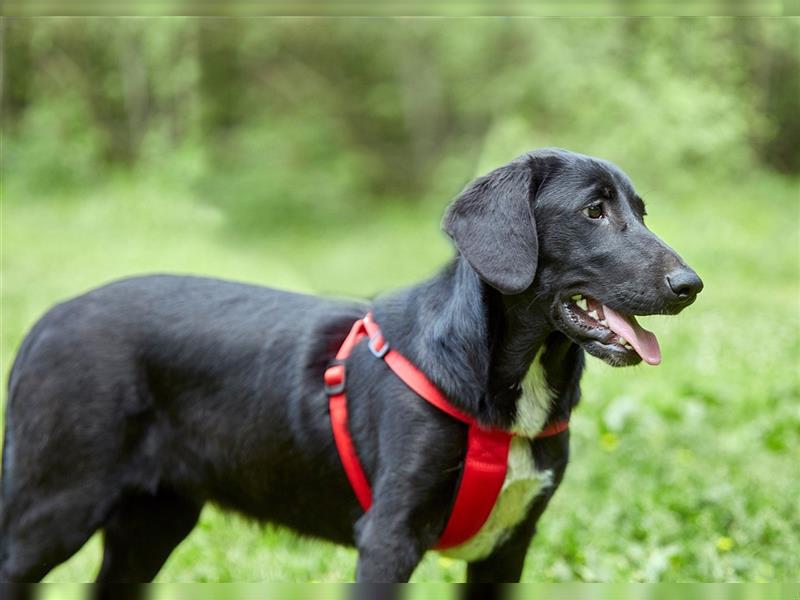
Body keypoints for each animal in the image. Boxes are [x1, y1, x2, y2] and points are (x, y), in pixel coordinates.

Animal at [0, 148, 700, 584]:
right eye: (593, 211)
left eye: (642, 212)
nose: (691, 285)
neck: (505, 387)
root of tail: (45, 321)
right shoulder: (388, 539)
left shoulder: (507, 549)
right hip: (51, 509)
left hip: (154, 522)